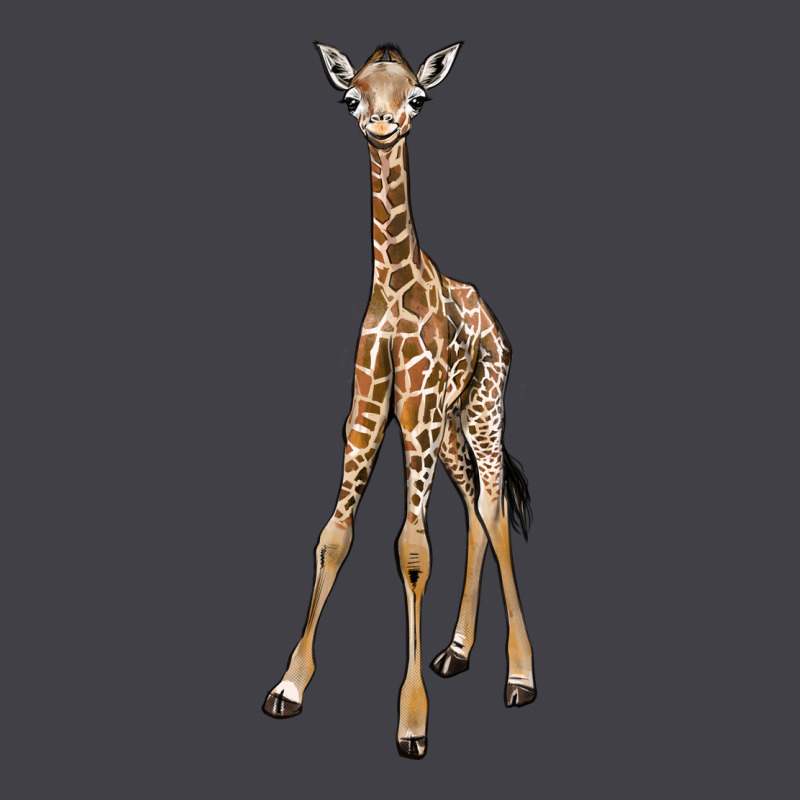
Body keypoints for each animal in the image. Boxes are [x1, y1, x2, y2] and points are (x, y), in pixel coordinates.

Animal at [263, 42, 536, 759]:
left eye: (416, 96)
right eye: (351, 96)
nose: (382, 127)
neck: (393, 288)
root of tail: (494, 322)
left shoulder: (411, 419)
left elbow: (413, 551)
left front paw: (412, 722)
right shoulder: (365, 417)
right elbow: (333, 537)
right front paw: (289, 684)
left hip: (482, 409)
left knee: (494, 506)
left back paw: (520, 676)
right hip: (448, 426)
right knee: (475, 509)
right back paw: (457, 651)